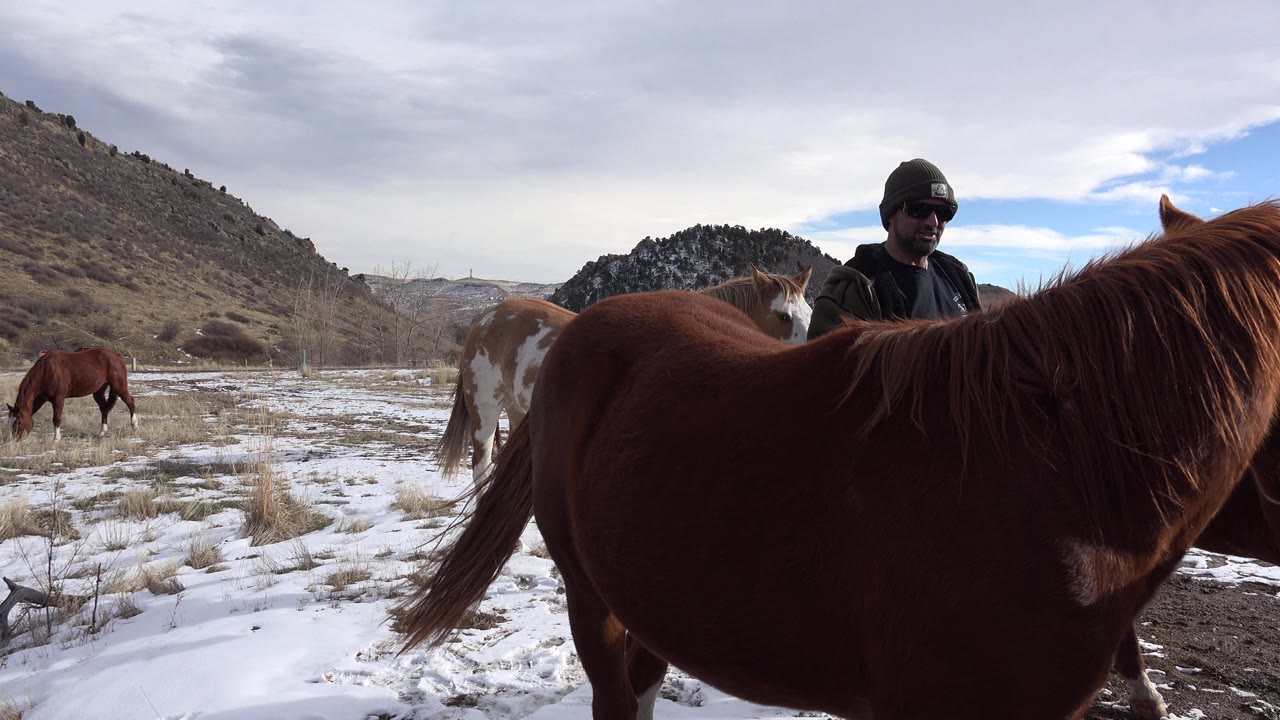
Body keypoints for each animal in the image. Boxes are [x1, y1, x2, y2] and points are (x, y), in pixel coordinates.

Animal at [7, 346, 138, 442]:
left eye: (18, 422)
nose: (13, 441)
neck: (46, 371)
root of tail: (117, 355)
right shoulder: (41, 398)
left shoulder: (58, 399)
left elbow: (56, 418)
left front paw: (56, 439)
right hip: (99, 391)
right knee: (104, 408)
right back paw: (102, 432)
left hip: (119, 386)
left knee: (130, 402)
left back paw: (135, 426)